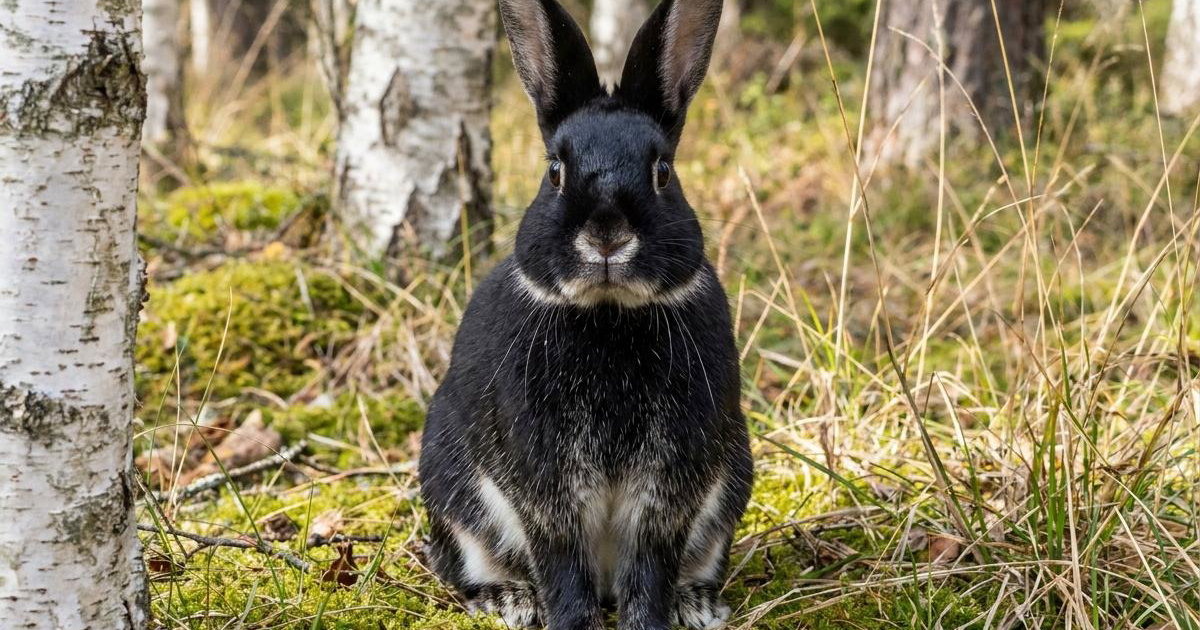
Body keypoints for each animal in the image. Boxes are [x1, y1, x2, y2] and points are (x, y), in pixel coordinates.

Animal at [418, 1, 753, 629]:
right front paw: (570, 620)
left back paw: (696, 605)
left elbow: (650, 561)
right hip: (453, 490)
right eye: (555, 171)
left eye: (662, 171)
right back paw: (509, 600)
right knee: (464, 563)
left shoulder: (671, 481)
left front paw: (650, 621)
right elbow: (560, 557)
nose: (606, 234)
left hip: (731, 486)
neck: (608, 314)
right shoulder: (544, 479)